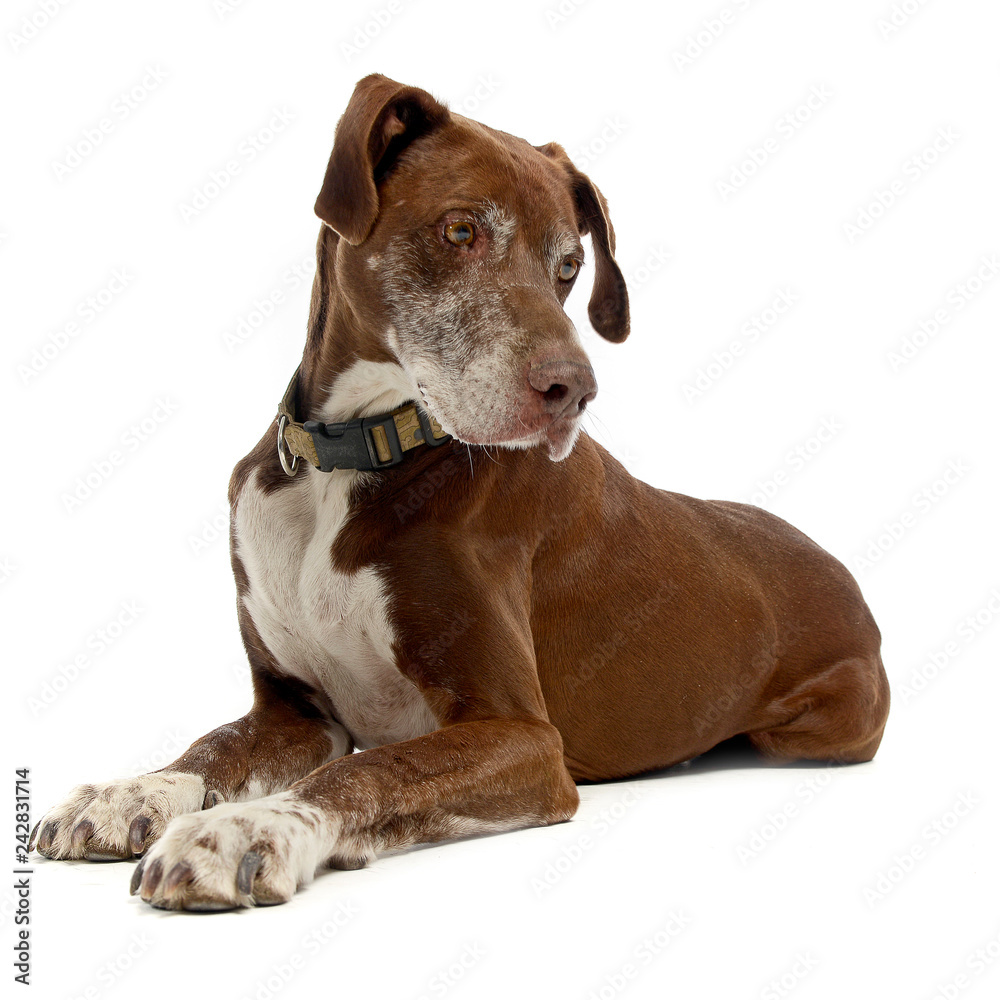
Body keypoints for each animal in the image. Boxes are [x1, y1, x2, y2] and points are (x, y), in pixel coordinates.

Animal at [31, 74, 892, 912]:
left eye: (569, 267)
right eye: (459, 232)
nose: (573, 391)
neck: (347, 459)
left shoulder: (523, 736)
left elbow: (368, 770)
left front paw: (245, 829)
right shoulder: (295, 713)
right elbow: (215, 744)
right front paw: (131, 791)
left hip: (827, 721)